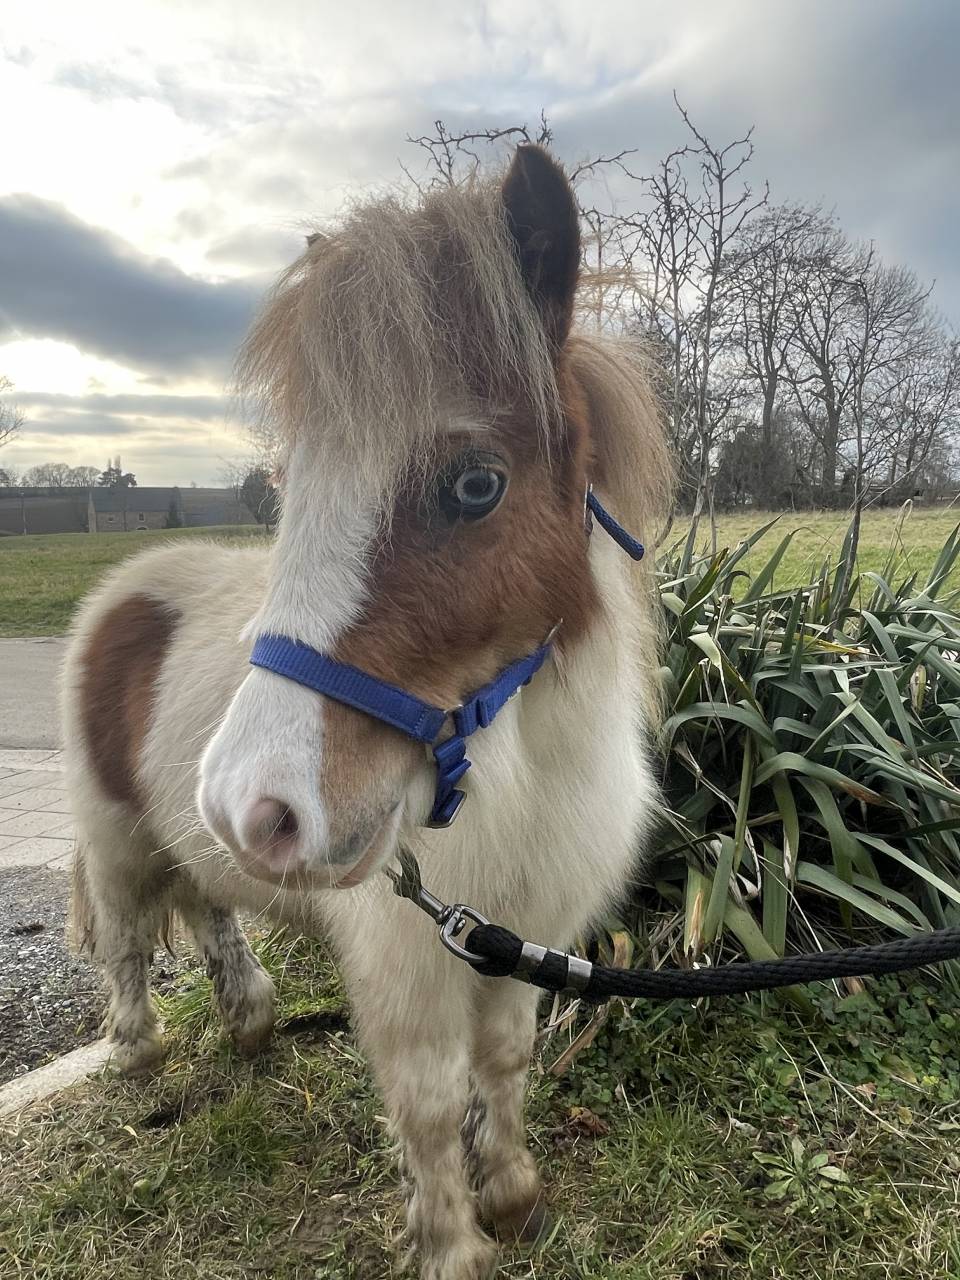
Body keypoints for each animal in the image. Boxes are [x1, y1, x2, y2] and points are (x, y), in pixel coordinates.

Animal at [64, 145, 673, 1280]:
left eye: (475, 484)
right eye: (286, 486)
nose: (253, 804)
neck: (520, 772)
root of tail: (121, 592)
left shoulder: (523, 937)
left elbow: (506, 1059)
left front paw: (513, 1194)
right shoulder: (408, 963)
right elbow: (429, 1102)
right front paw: (452, 1244)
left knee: (209, 904)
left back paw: (251, 1019)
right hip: (117, 833)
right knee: (126, 934)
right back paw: (135, 1050)